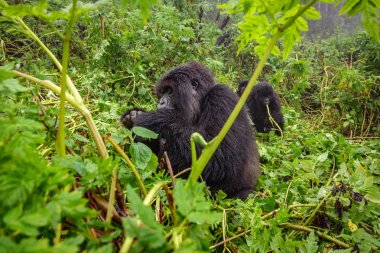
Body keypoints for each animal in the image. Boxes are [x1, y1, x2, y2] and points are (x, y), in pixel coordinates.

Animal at [120, 62, 260, 199]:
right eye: (162, 93)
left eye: (169, 91)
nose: (160, 103)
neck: (202, 102)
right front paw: (132, 116)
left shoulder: (222, 97)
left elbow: (223, 158)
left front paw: (153, 119)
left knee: (246, 195)